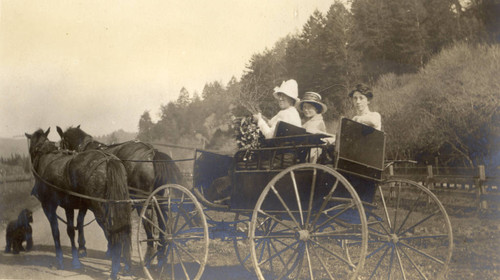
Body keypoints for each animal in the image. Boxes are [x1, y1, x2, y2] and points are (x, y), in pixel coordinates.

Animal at [25, 129, 131, 280]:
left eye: (32, 149)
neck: (45, 154)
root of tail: (108, 159)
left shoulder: (49, 206)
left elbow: (57, 231)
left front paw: (61, 259)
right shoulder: (72, 206)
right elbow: (73, 228)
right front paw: (77, 256)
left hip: (99, 208)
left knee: (111, 232)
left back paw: (114, 269)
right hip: (118, 205)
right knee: (124, 229)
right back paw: (126, 265)